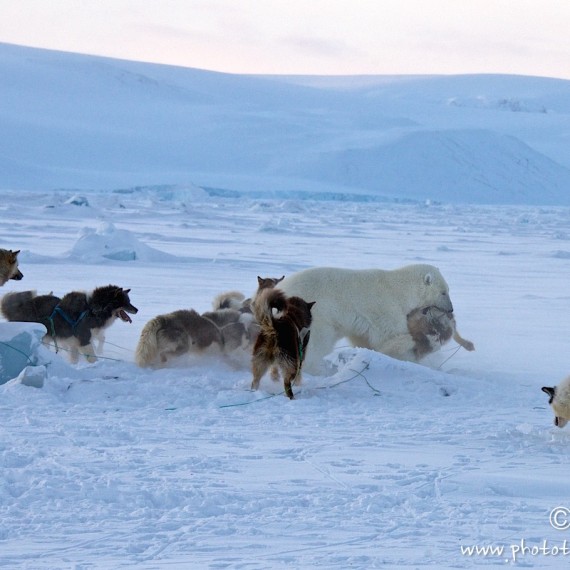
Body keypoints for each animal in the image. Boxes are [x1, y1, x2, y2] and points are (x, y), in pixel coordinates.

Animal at [0, 286, 138, 362]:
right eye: (125, 302)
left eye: (129, 301)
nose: (137, 310)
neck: (92, 309)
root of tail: (18, 307)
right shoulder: (84, 340)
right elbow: (93, 358)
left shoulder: (74, 344)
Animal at [278, 262, 472, 372]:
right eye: (443, 292)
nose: (451, 309)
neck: (400, 287)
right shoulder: (386, 308)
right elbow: (389, 337)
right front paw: (408, 352)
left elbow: (364, 339)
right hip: (317, 315)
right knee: (317, 343)